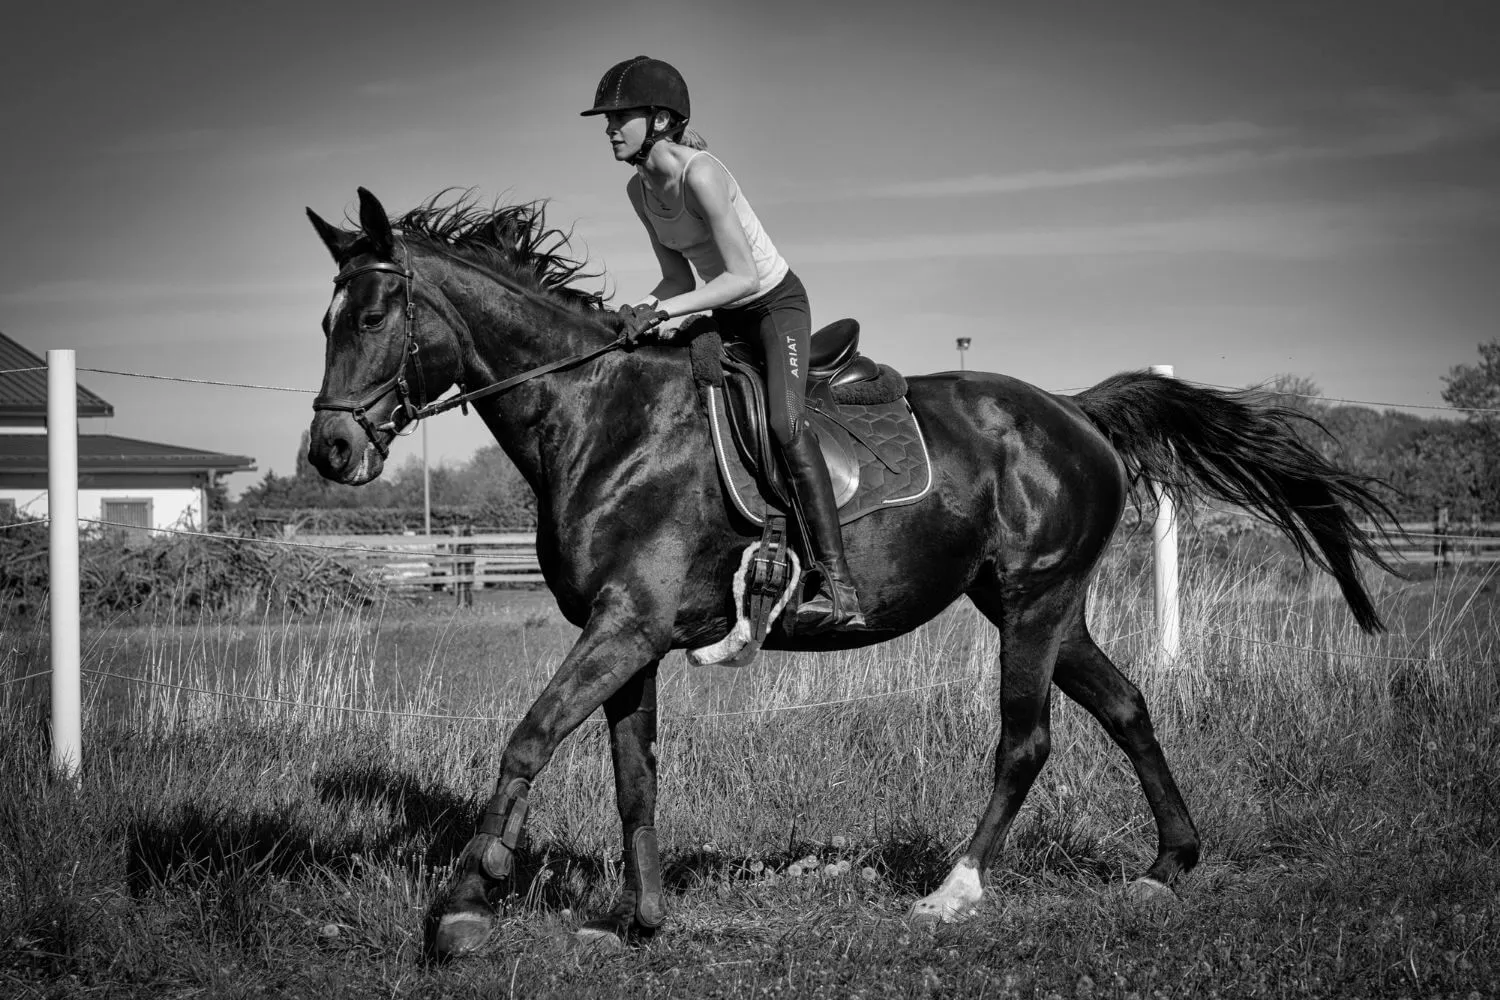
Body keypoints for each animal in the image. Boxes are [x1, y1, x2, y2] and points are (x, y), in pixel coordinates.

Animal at [305, 188, 1398, 959]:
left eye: (373, 316)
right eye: (324, 321)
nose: (330, 452)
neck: (601, 416)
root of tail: (1072, 409)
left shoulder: (627, 624)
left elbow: (528, 739)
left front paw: (462, 902)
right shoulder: (628, 635)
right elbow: (633, 777)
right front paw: (640, 918)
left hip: (1035, 601)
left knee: (1025, 740)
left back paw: (954, 890)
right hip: (1039, 602)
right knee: (1126, 704)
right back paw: (1169, 863)